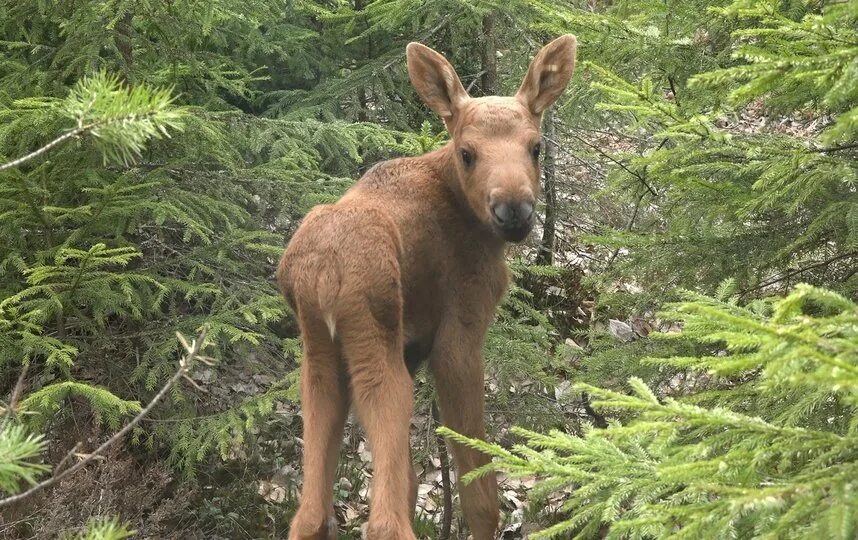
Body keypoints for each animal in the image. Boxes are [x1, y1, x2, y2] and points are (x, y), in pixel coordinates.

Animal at [278, 35, 580, 536]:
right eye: (467, 152)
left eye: (536, 147)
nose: (513, 211)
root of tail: (321, 274)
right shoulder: (459, 334)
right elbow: (479, 490)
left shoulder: (412, 345)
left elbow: (411, 481)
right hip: (376, 346)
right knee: (384, 522)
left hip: (319, 358)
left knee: (310, 514)